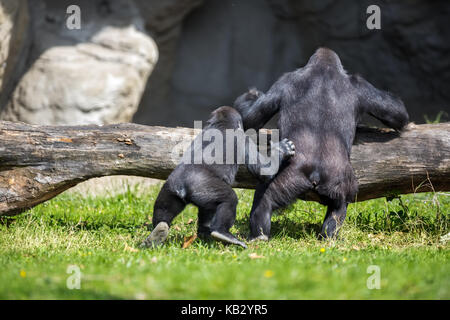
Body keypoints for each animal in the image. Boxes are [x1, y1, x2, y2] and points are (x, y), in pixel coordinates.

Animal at [142, 106, 296, 249]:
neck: (220, 125)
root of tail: (181, 187)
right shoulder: (243, 138)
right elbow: (263, 170)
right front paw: (282, 149)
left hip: (170, 188)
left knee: (164, 209)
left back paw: (158, 233)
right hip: (203, 186)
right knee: (229, 199)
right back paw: (222, 233)